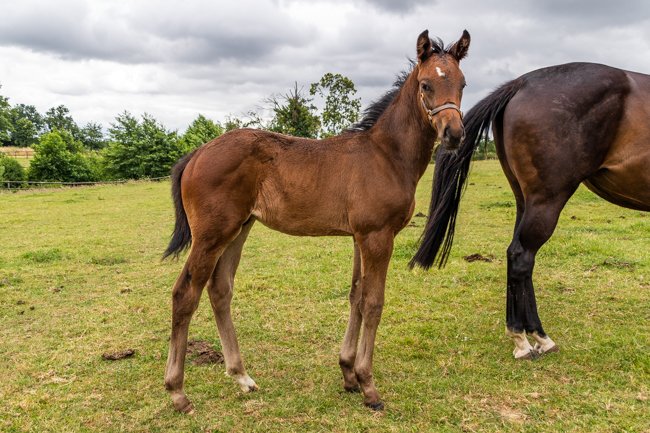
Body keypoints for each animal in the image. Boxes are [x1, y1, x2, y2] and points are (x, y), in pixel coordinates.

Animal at [162, 29, 471, 413]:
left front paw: (348, 374)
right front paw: (369, 386)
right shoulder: (377, 236)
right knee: (184, 293)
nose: (454, 134)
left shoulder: (360, 236)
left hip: (238, 230)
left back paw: (242, 377)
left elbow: (356, 296)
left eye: (462, 83)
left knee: (220, 289)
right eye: (426, 84)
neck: (386, 155)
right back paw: (178, 392)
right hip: (211, 235)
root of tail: (197, 153)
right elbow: (373, 302)